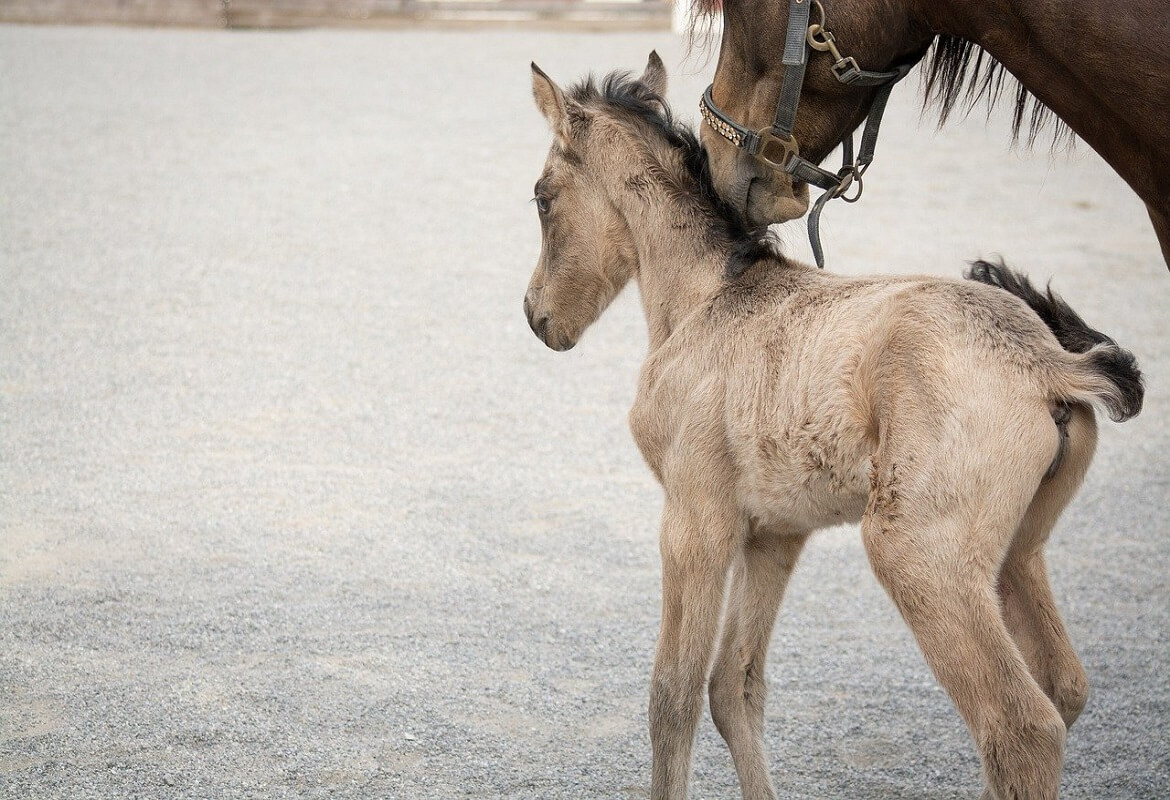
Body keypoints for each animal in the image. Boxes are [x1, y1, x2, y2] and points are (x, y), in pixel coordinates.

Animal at [521, 53, 1141, 795]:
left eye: (541, 197)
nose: (536, 316)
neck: (708, 298)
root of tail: (1048, 362)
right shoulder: (774, 534)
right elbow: (734, 688)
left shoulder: (696, 522)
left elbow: (672, 694)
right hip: (1019, 551)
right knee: (1062, 685)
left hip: (919, 553)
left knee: (1020, 724)